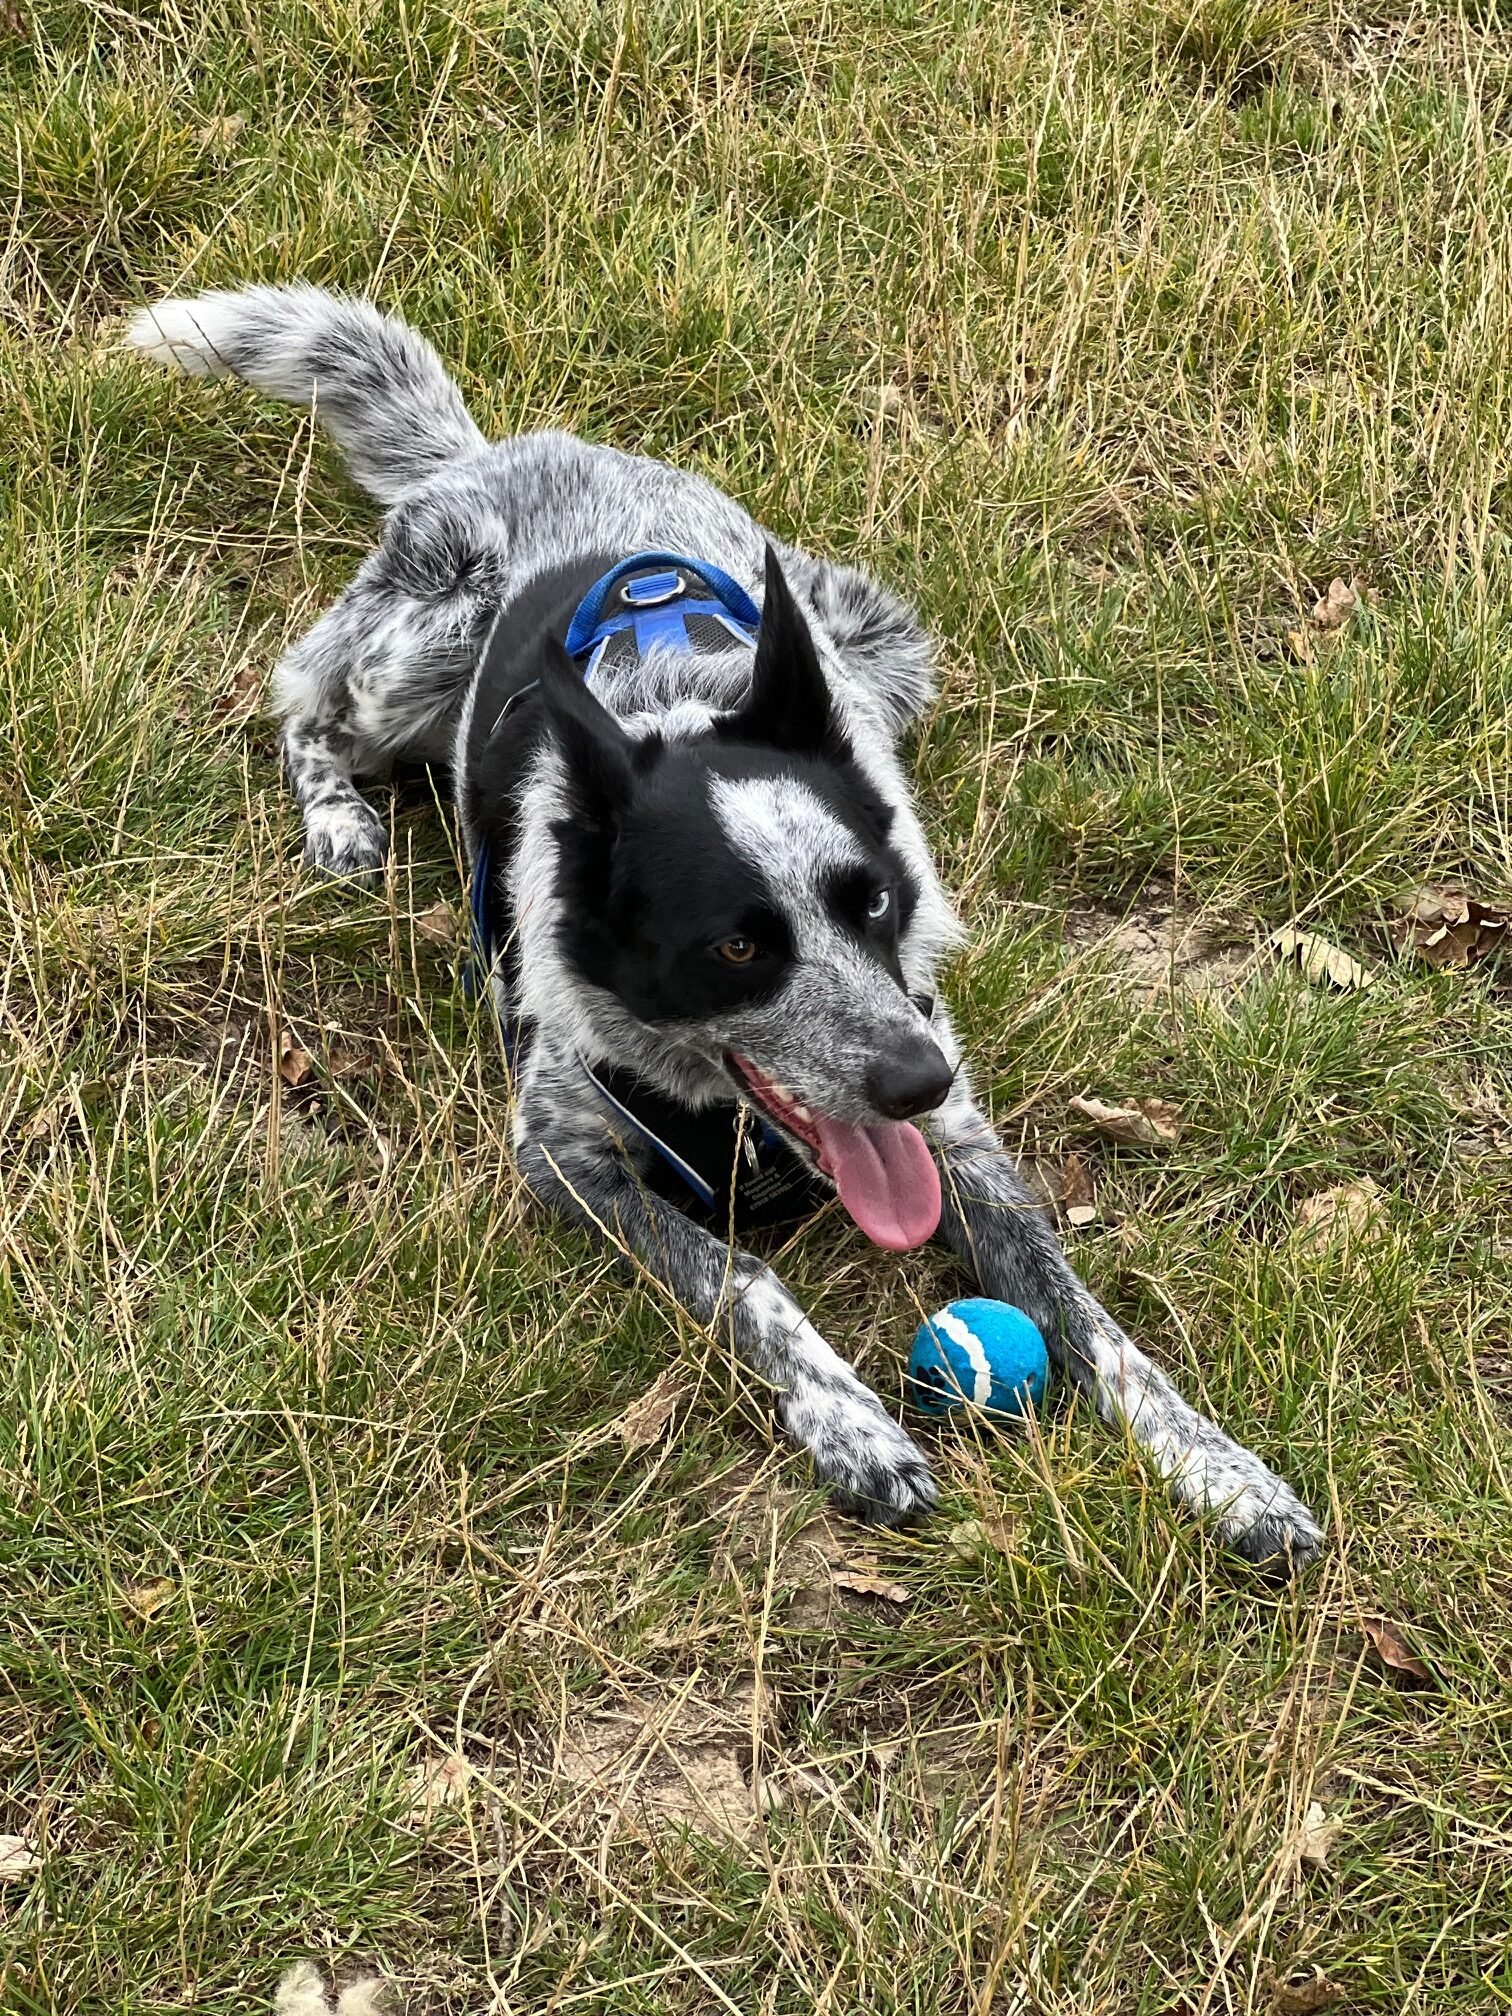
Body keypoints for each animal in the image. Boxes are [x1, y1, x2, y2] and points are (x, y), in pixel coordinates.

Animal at [130, 284, 1322, 1564]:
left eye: (874, 899)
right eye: (737, 947)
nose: (918, 1077)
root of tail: (491, 452)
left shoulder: (960, 1147)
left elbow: (1093, 1319)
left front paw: (1222, 1471)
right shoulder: (566, 1160)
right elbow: (746, 1279)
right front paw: (850, 1421)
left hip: (883, 648)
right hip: (418, 643)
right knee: (301, 696)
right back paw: (339, 818)